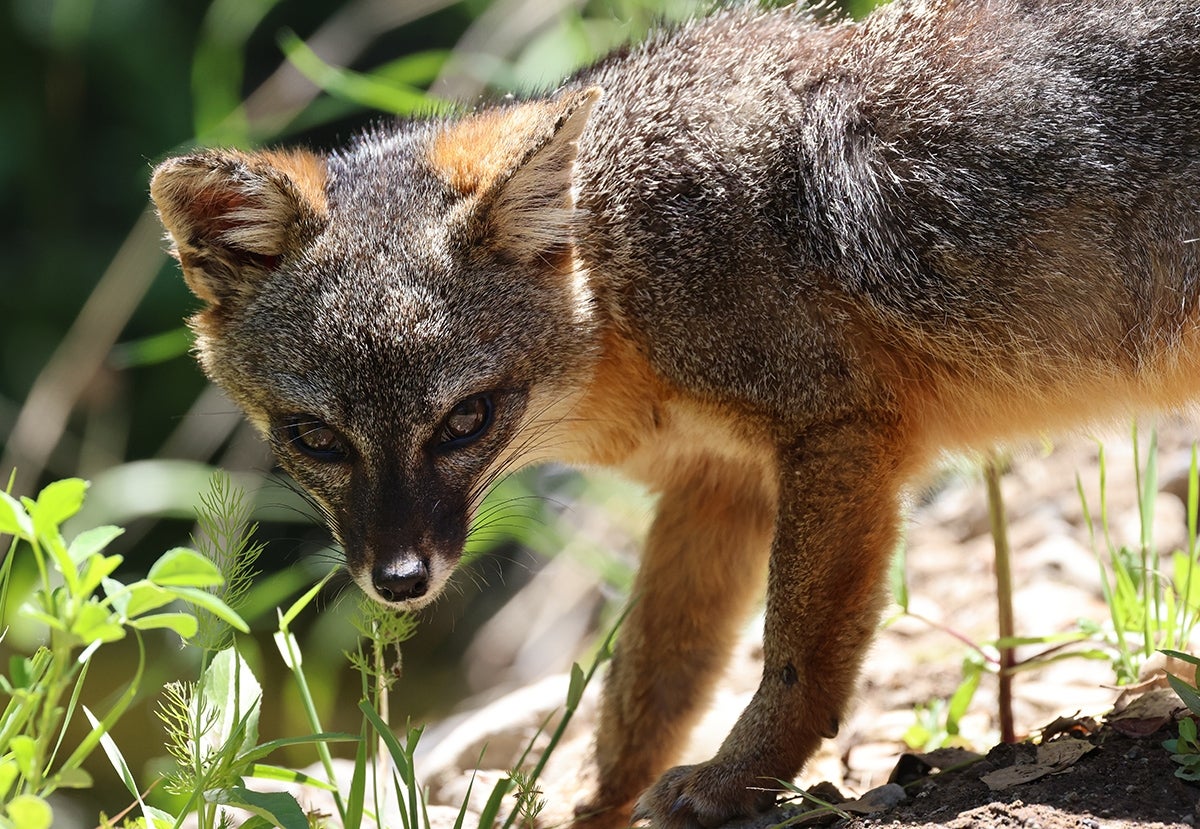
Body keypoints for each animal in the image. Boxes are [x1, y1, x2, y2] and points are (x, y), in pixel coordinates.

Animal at [150, 0, 1200, 825]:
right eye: (317, 440)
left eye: (466, 420)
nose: (400, 580)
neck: (626, 263)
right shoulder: (719, 484)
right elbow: (645, 688)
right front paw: (598, 809)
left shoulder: (837, 433)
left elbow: (795, 653)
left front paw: (737, 780)